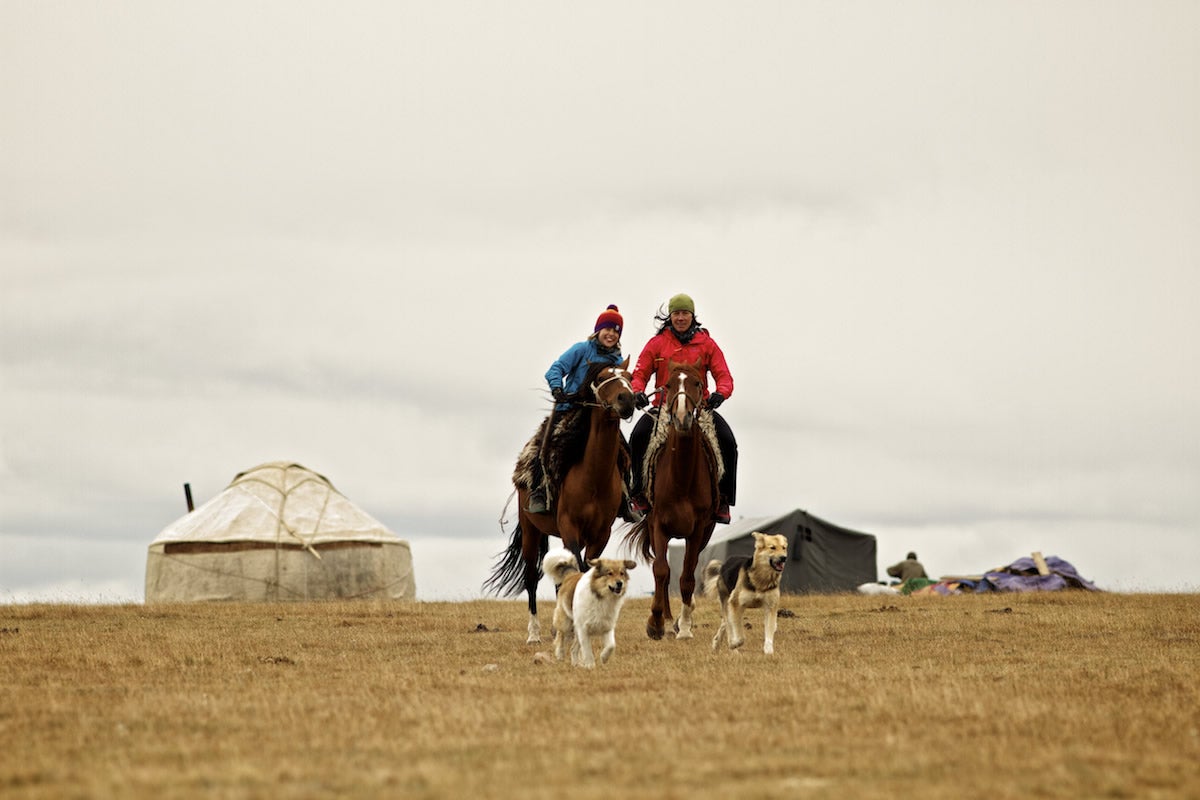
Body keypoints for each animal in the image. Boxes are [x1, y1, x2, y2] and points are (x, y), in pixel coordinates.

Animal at [484, 362, 643, 642]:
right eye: (602, 377)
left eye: (628, 376)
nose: (627, 400)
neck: (593, 477)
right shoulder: (570, 528)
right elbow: (576, 569)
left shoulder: (600, 534)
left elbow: (588, 568)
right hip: (531, 530)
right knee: (531, 578)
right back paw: (534, 633)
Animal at [624, 359, 715, 642]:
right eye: (669, 384)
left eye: (697, 383)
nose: (683, 417)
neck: (681, 478)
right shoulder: (658, 525)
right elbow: (662, 571)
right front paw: (655, 623)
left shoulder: (698, 530)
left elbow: (687, 577)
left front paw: (684, 627)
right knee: (662, 573)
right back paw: (664, 617)